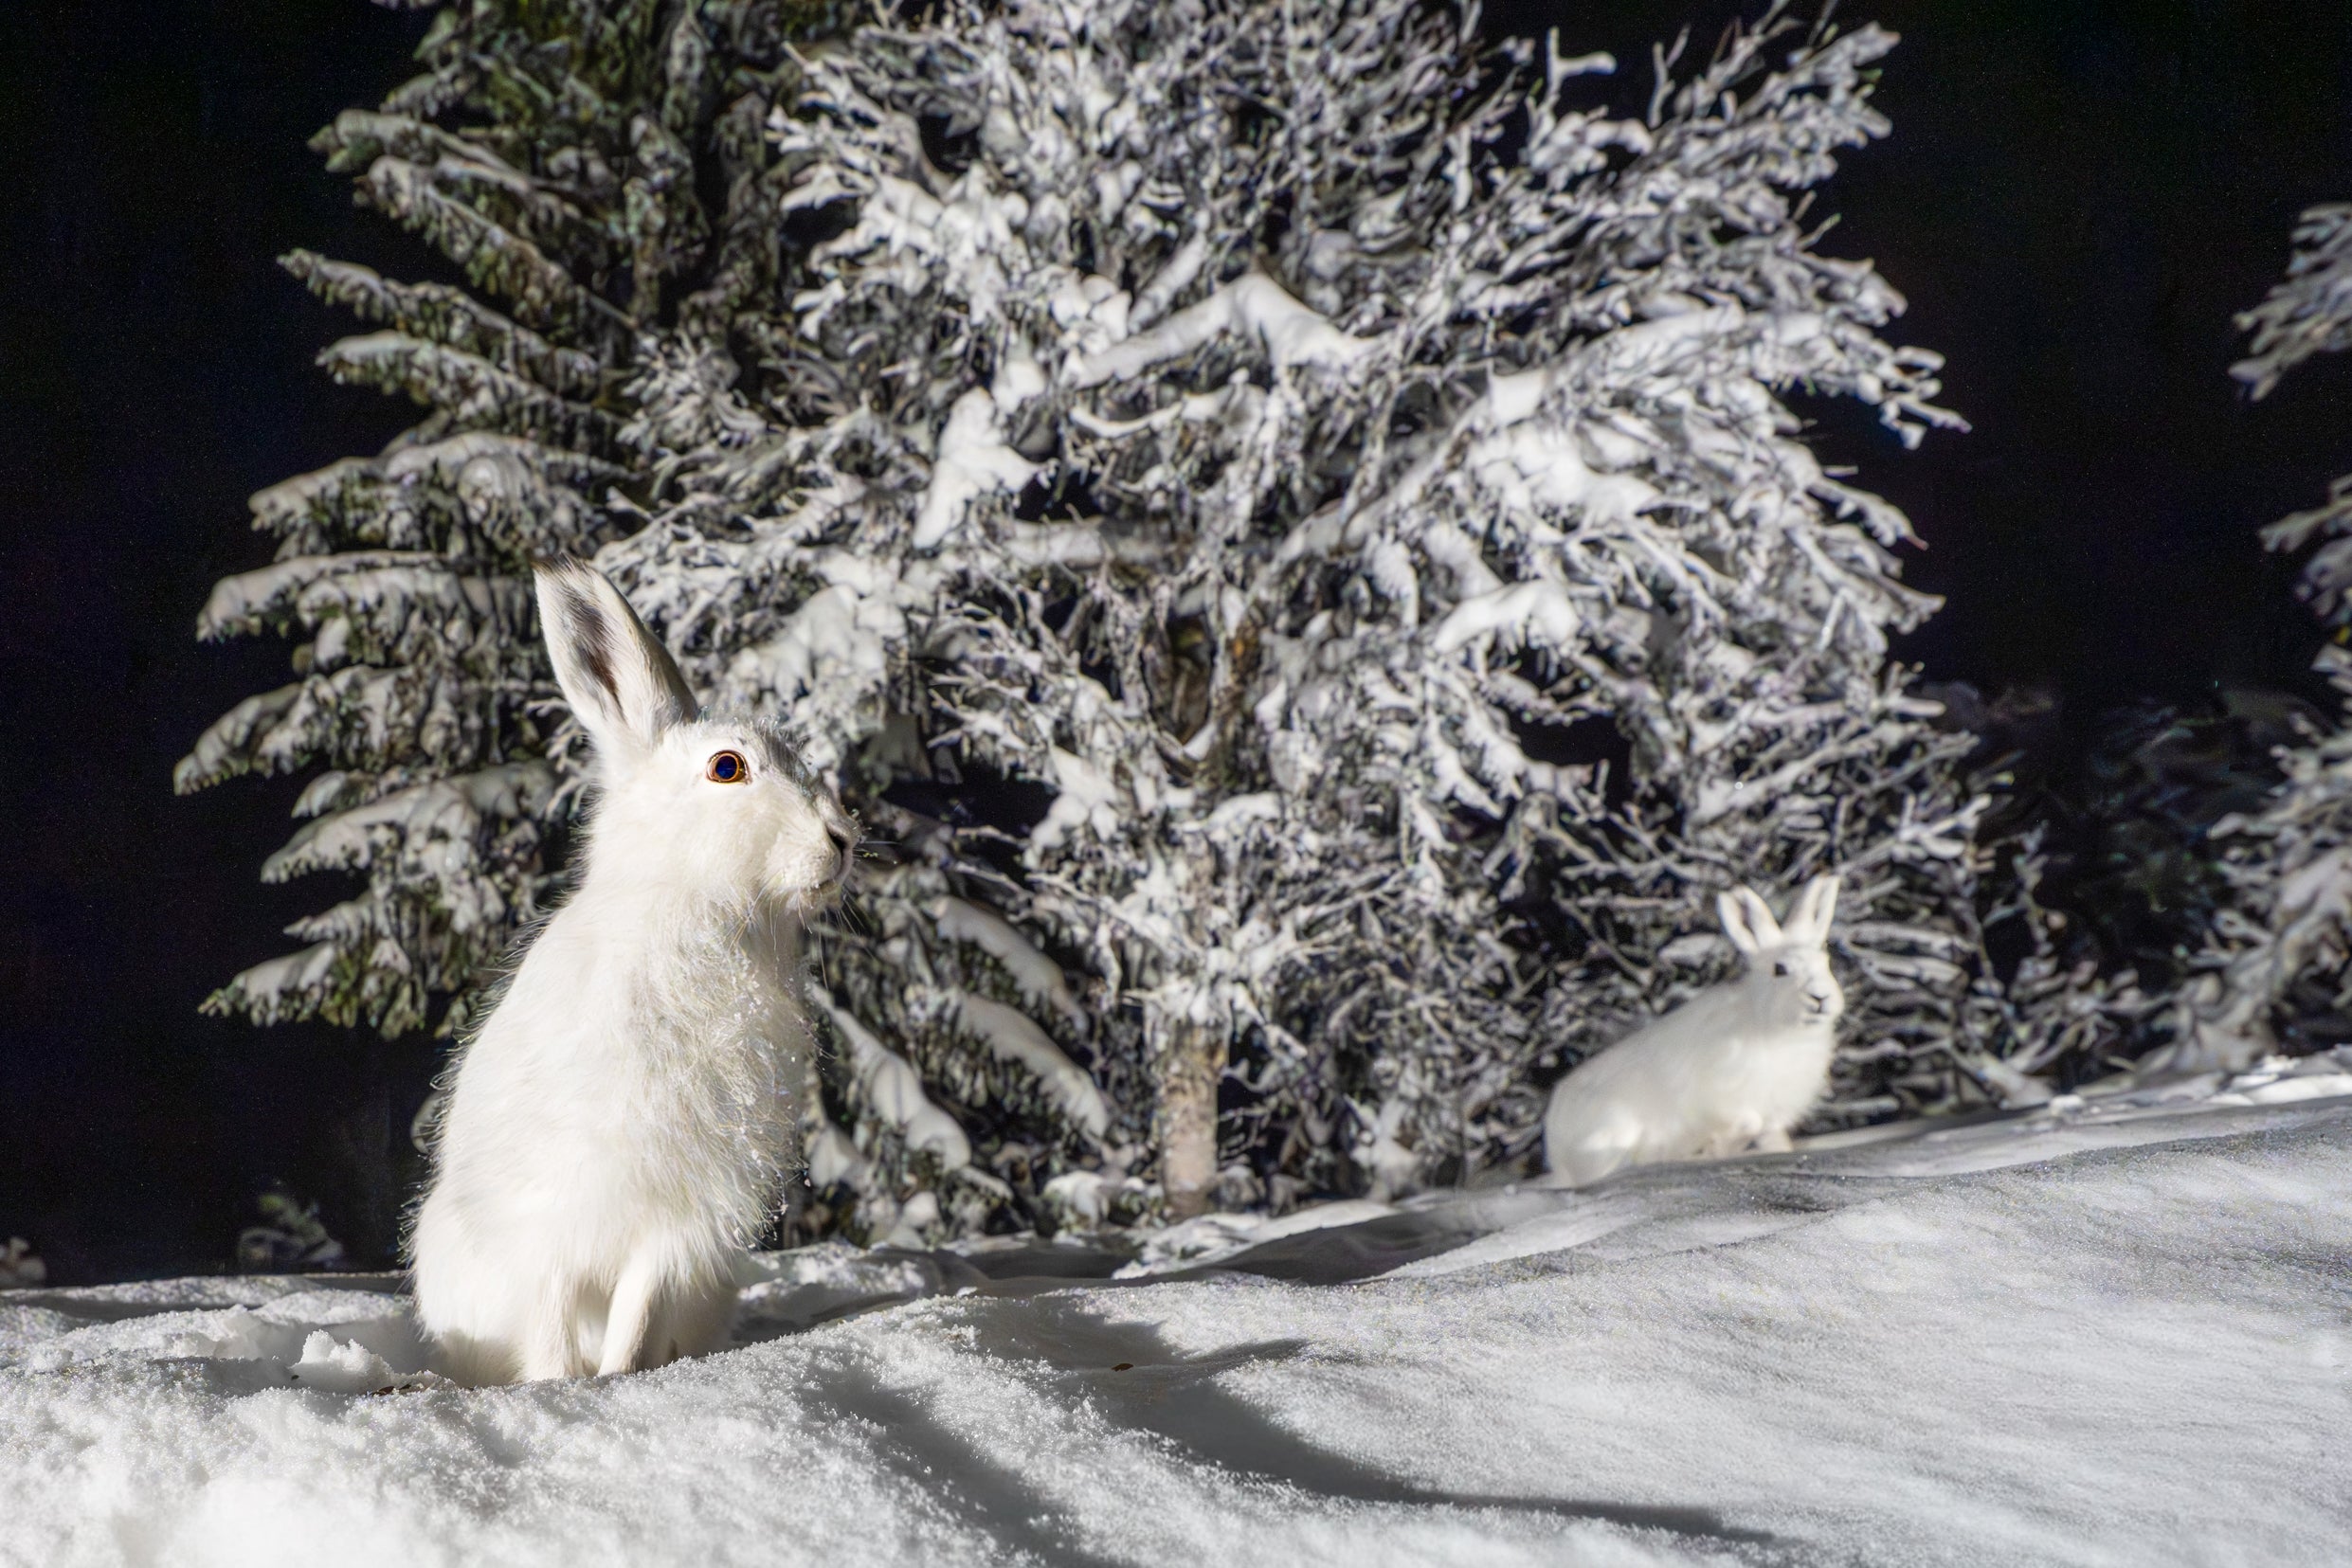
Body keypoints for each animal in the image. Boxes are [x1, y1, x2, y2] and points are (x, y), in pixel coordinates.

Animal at [410, 557, 856, 1385]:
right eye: (727, 767)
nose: (841, 839)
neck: (694, 914)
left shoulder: (677, 1227)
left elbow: (639, 1318)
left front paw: (621, 1384)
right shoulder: (552, 1219)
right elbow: (551, 1320)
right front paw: (558, 1389)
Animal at [1544, 875, 1844, 1187]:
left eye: (1825, 963)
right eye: (1780, 969)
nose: (1820, 997)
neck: (1779, 1030)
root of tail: (1556, 1149)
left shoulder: (1771, 1115)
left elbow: (1771, 1137)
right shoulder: (1725, 1099)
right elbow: (1747, 1123)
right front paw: (1717, 1149)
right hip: (1614, 1126)